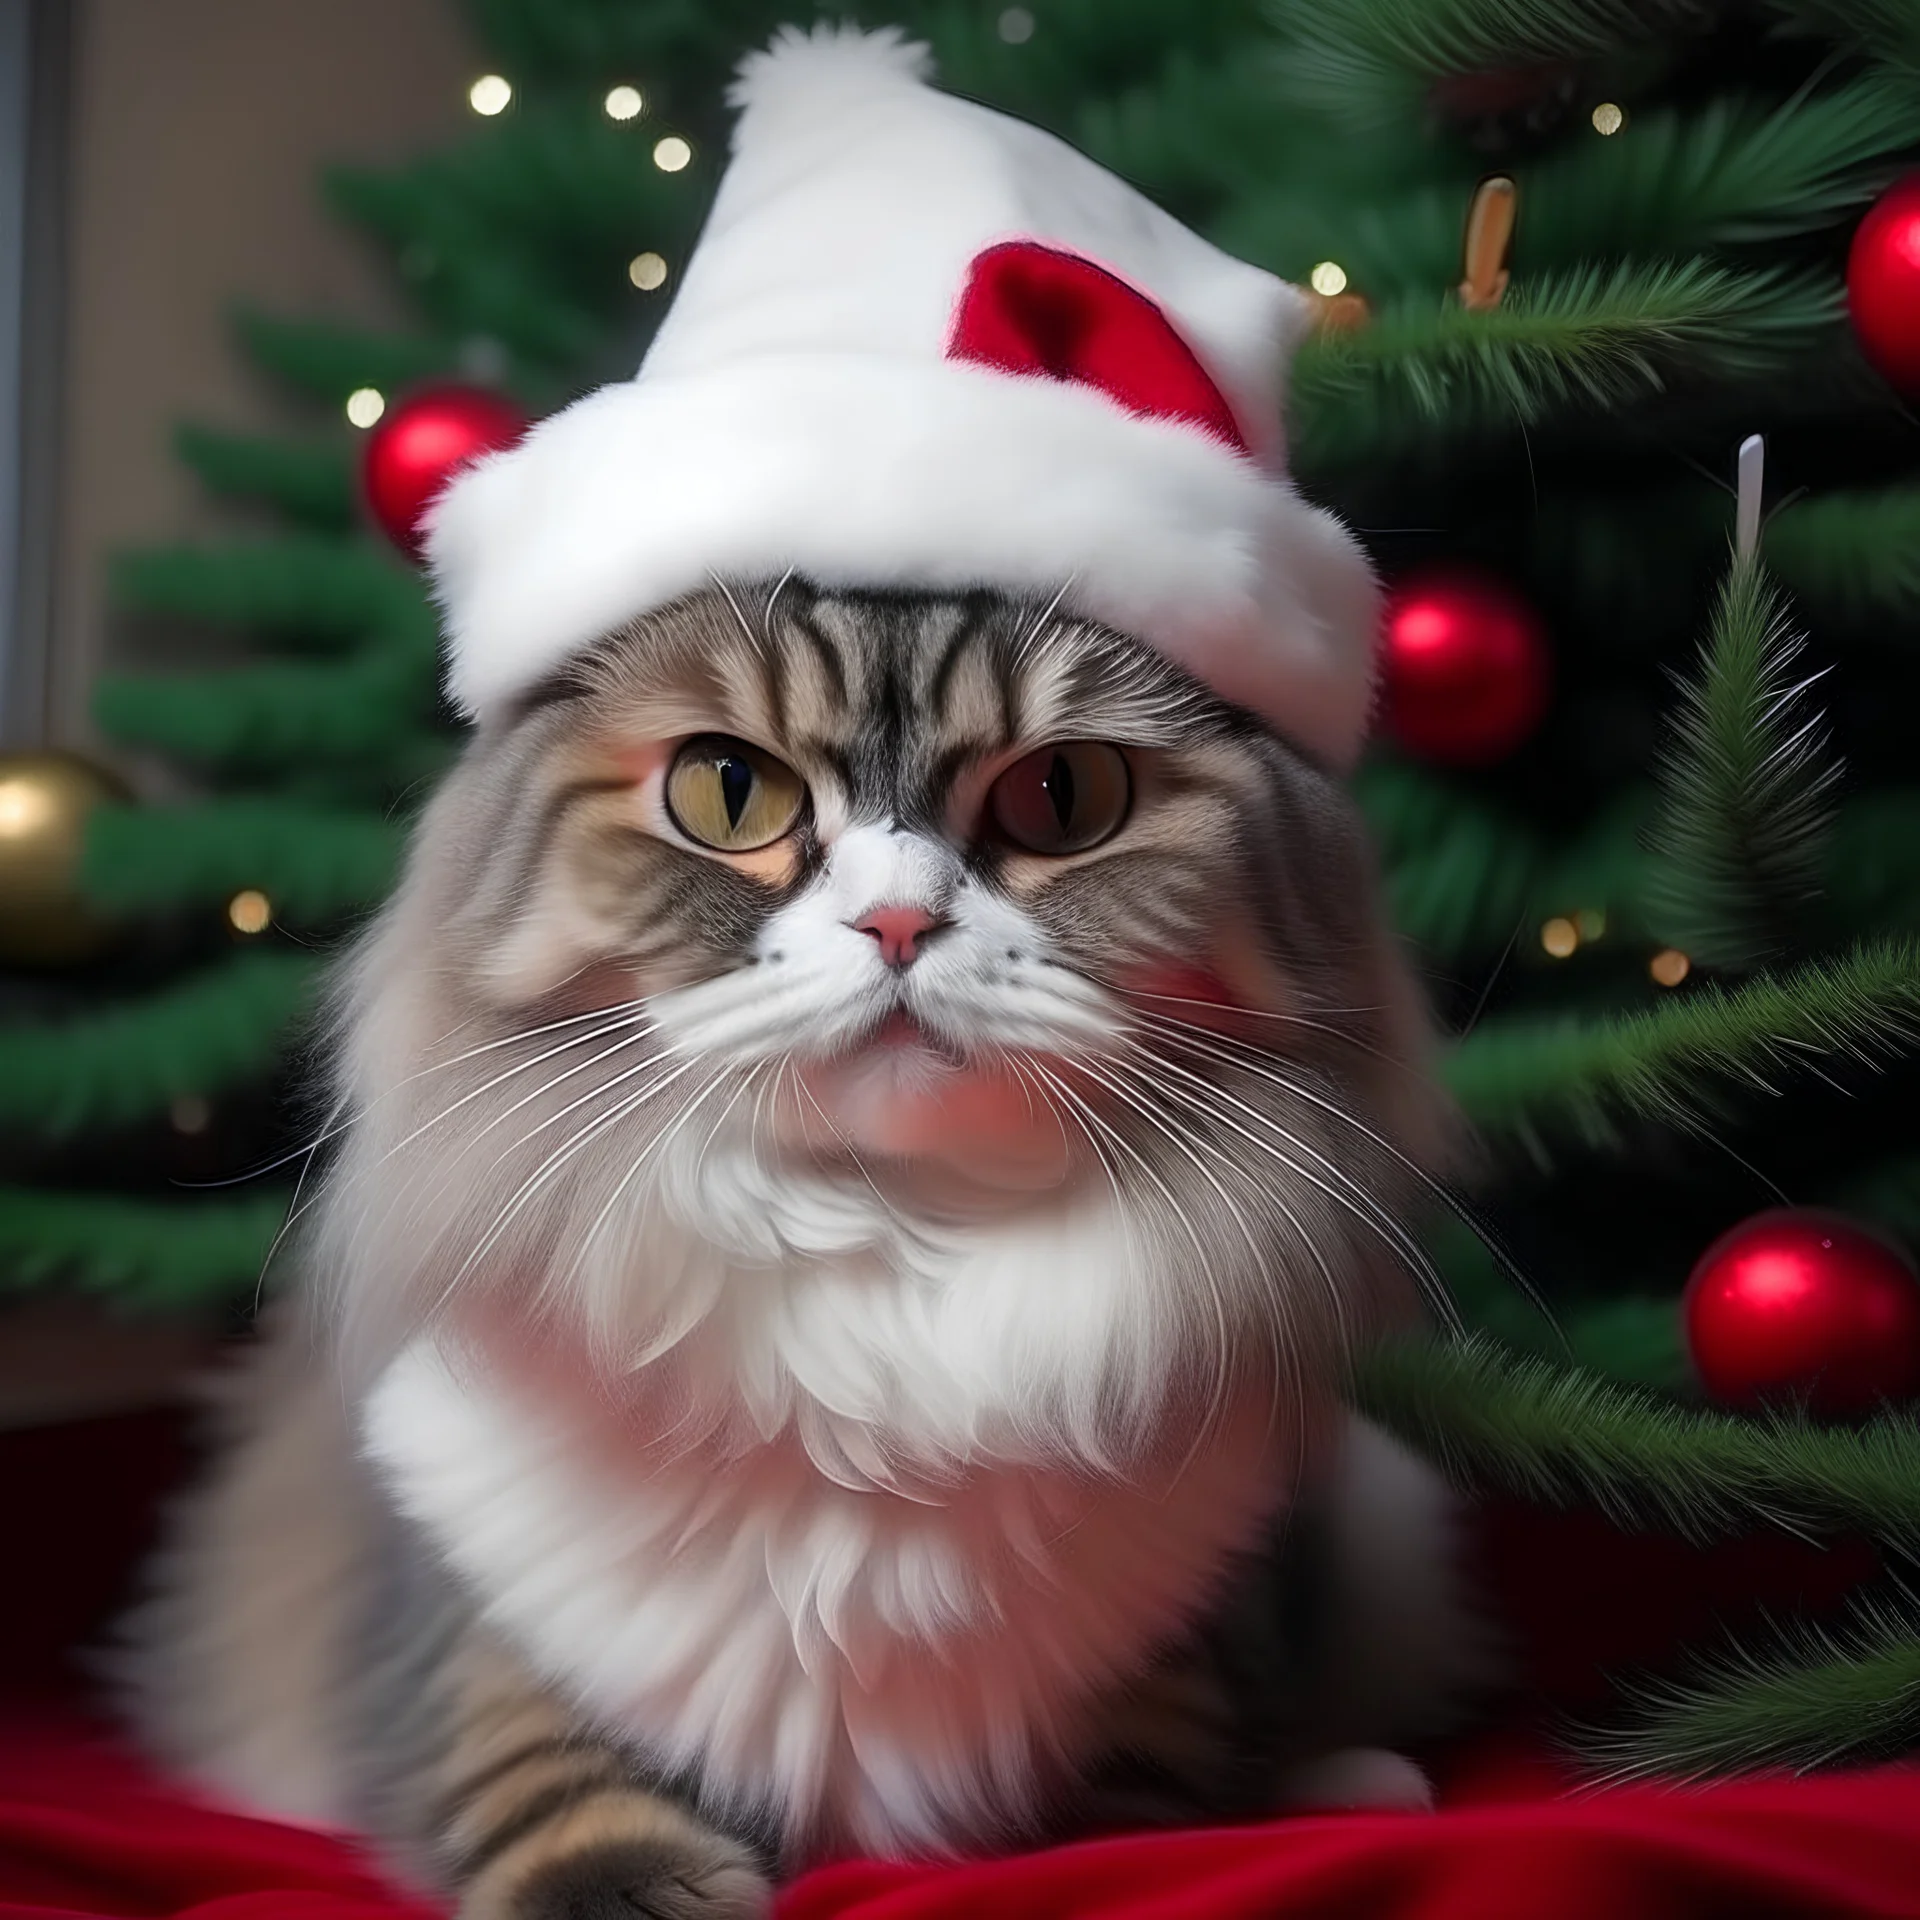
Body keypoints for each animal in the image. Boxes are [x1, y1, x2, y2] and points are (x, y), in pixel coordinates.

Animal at [127, 576, 1489, 1912]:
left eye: (1065, 795)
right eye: (730, 790)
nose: (896, 922)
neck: (886, 1249)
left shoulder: (1204, 1618)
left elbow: (1146, 1801)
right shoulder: (456, 1602)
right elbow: (532, 1751)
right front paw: (629, 1886)